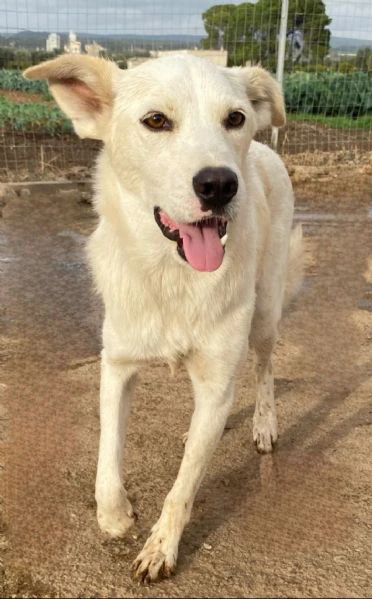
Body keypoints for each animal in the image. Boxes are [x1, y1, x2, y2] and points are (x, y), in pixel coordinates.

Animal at [24, 55, 302, 580]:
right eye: (156, 120)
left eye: (234, 118)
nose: (220, 184)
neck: (173, 277)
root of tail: (264, 149)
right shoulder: (117, 366)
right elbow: (107, 453)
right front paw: (114, 516)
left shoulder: (216, 377)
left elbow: (183, 487)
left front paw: (160, 548)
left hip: (265, 312)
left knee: (265, 367)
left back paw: (262, 424)